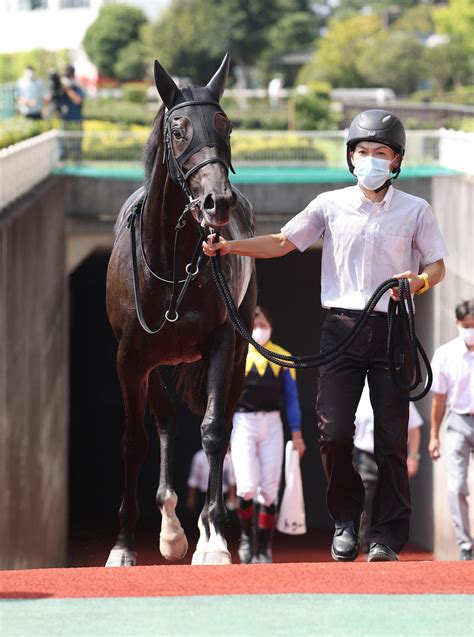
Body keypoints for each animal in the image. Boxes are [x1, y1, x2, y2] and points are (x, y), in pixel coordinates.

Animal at [106, 52, 258, 564]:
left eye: (225, 124)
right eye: (178, 129)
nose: (218, 201)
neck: (170, 264)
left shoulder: (223, 341)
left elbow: (213, 431)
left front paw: (214, 541)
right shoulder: (130, 355)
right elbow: (133, 441)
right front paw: (123, 547)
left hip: (238, 347)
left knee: (221, 421)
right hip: (152, 361)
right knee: (165, 419)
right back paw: (170, 528)